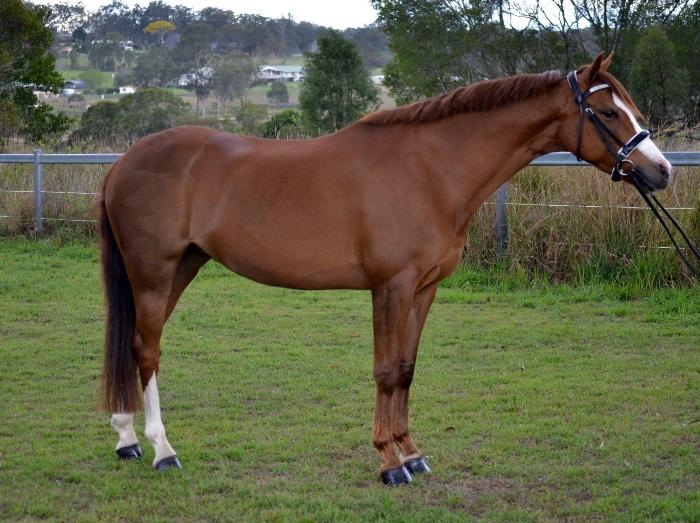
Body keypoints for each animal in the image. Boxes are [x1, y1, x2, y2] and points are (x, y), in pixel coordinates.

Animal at [99, 53, 671, 485]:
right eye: (608, 111)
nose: (661, 171)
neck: (429, 170)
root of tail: (123, 163)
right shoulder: (390, 287)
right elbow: (385, 370)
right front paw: (390, 462)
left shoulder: (423, 289)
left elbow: (407, 369)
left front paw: (412, 453)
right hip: (154, 271)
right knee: (147, 350)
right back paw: (162, 449)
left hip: (182, 267)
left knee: (135, 346)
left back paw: (126, 438)